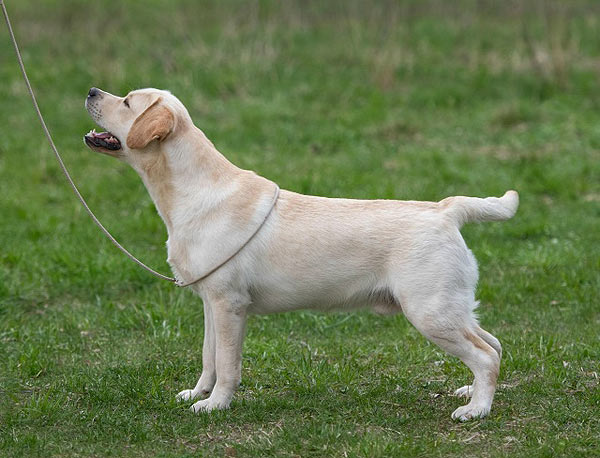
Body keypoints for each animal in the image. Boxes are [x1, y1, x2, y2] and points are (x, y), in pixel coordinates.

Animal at [84, 87, 518, 421]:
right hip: (450, 307)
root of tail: (446, 210)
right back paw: (470, 393)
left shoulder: (229, 304)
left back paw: (476, 410)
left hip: (429, 311)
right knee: (494, 344)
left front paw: (215, 406)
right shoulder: (210, 302)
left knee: (485, 355)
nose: (91, 91)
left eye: (126, 102)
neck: (192, 191)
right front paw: (196, 394)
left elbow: (227, 365)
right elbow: (208, 358)